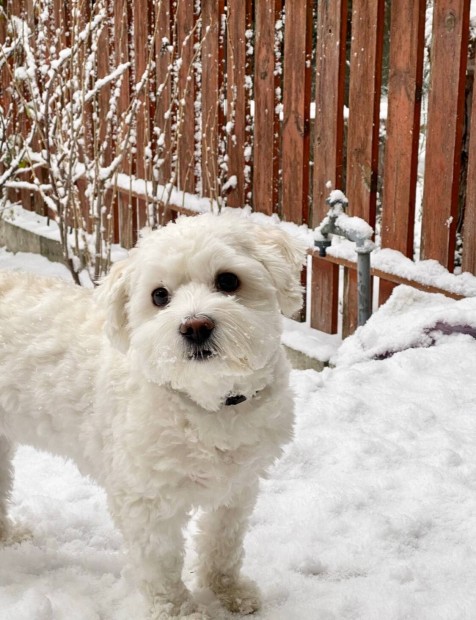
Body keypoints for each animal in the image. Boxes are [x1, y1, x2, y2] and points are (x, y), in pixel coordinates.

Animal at [0, 211, 306, 616]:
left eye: (228, 280)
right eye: (159, 295)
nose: (195, 326)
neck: (206, 404)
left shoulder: (238, 486)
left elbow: (222, 543)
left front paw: (228, 591)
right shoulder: (146, 500)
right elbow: (160, 564)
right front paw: (179, 612)